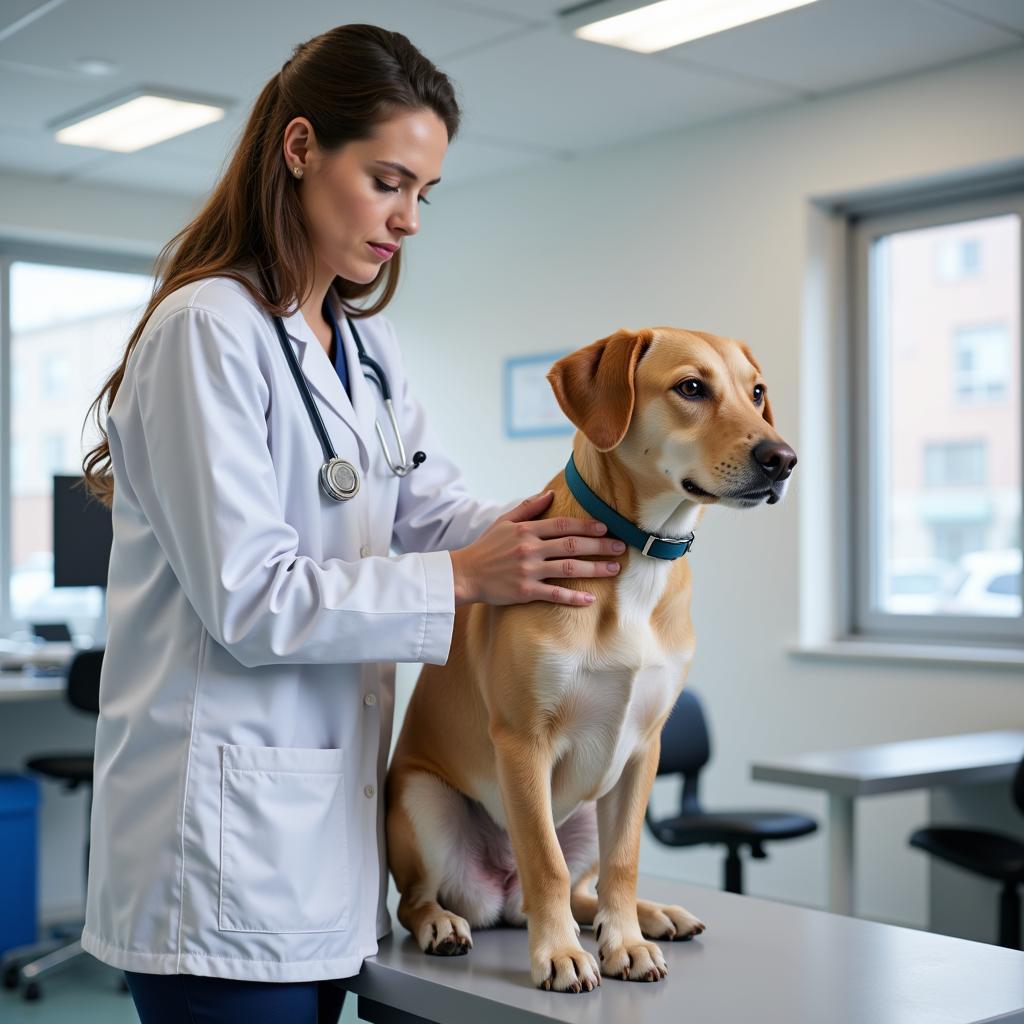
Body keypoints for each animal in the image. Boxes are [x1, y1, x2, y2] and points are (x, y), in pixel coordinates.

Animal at [385, 325, 790, 991]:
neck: (641, 557)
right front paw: (559, 954)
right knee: (423, 898)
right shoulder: (523, 743)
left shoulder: (643, 751)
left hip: (586, 813)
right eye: (691, 388)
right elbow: (544, 862)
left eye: (756, 393)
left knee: (587, 889)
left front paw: (624, 942)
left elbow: (623, 862)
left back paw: (652, 915)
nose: (783, 459)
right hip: (425, 802)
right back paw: (445, 923)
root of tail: (504, 896)